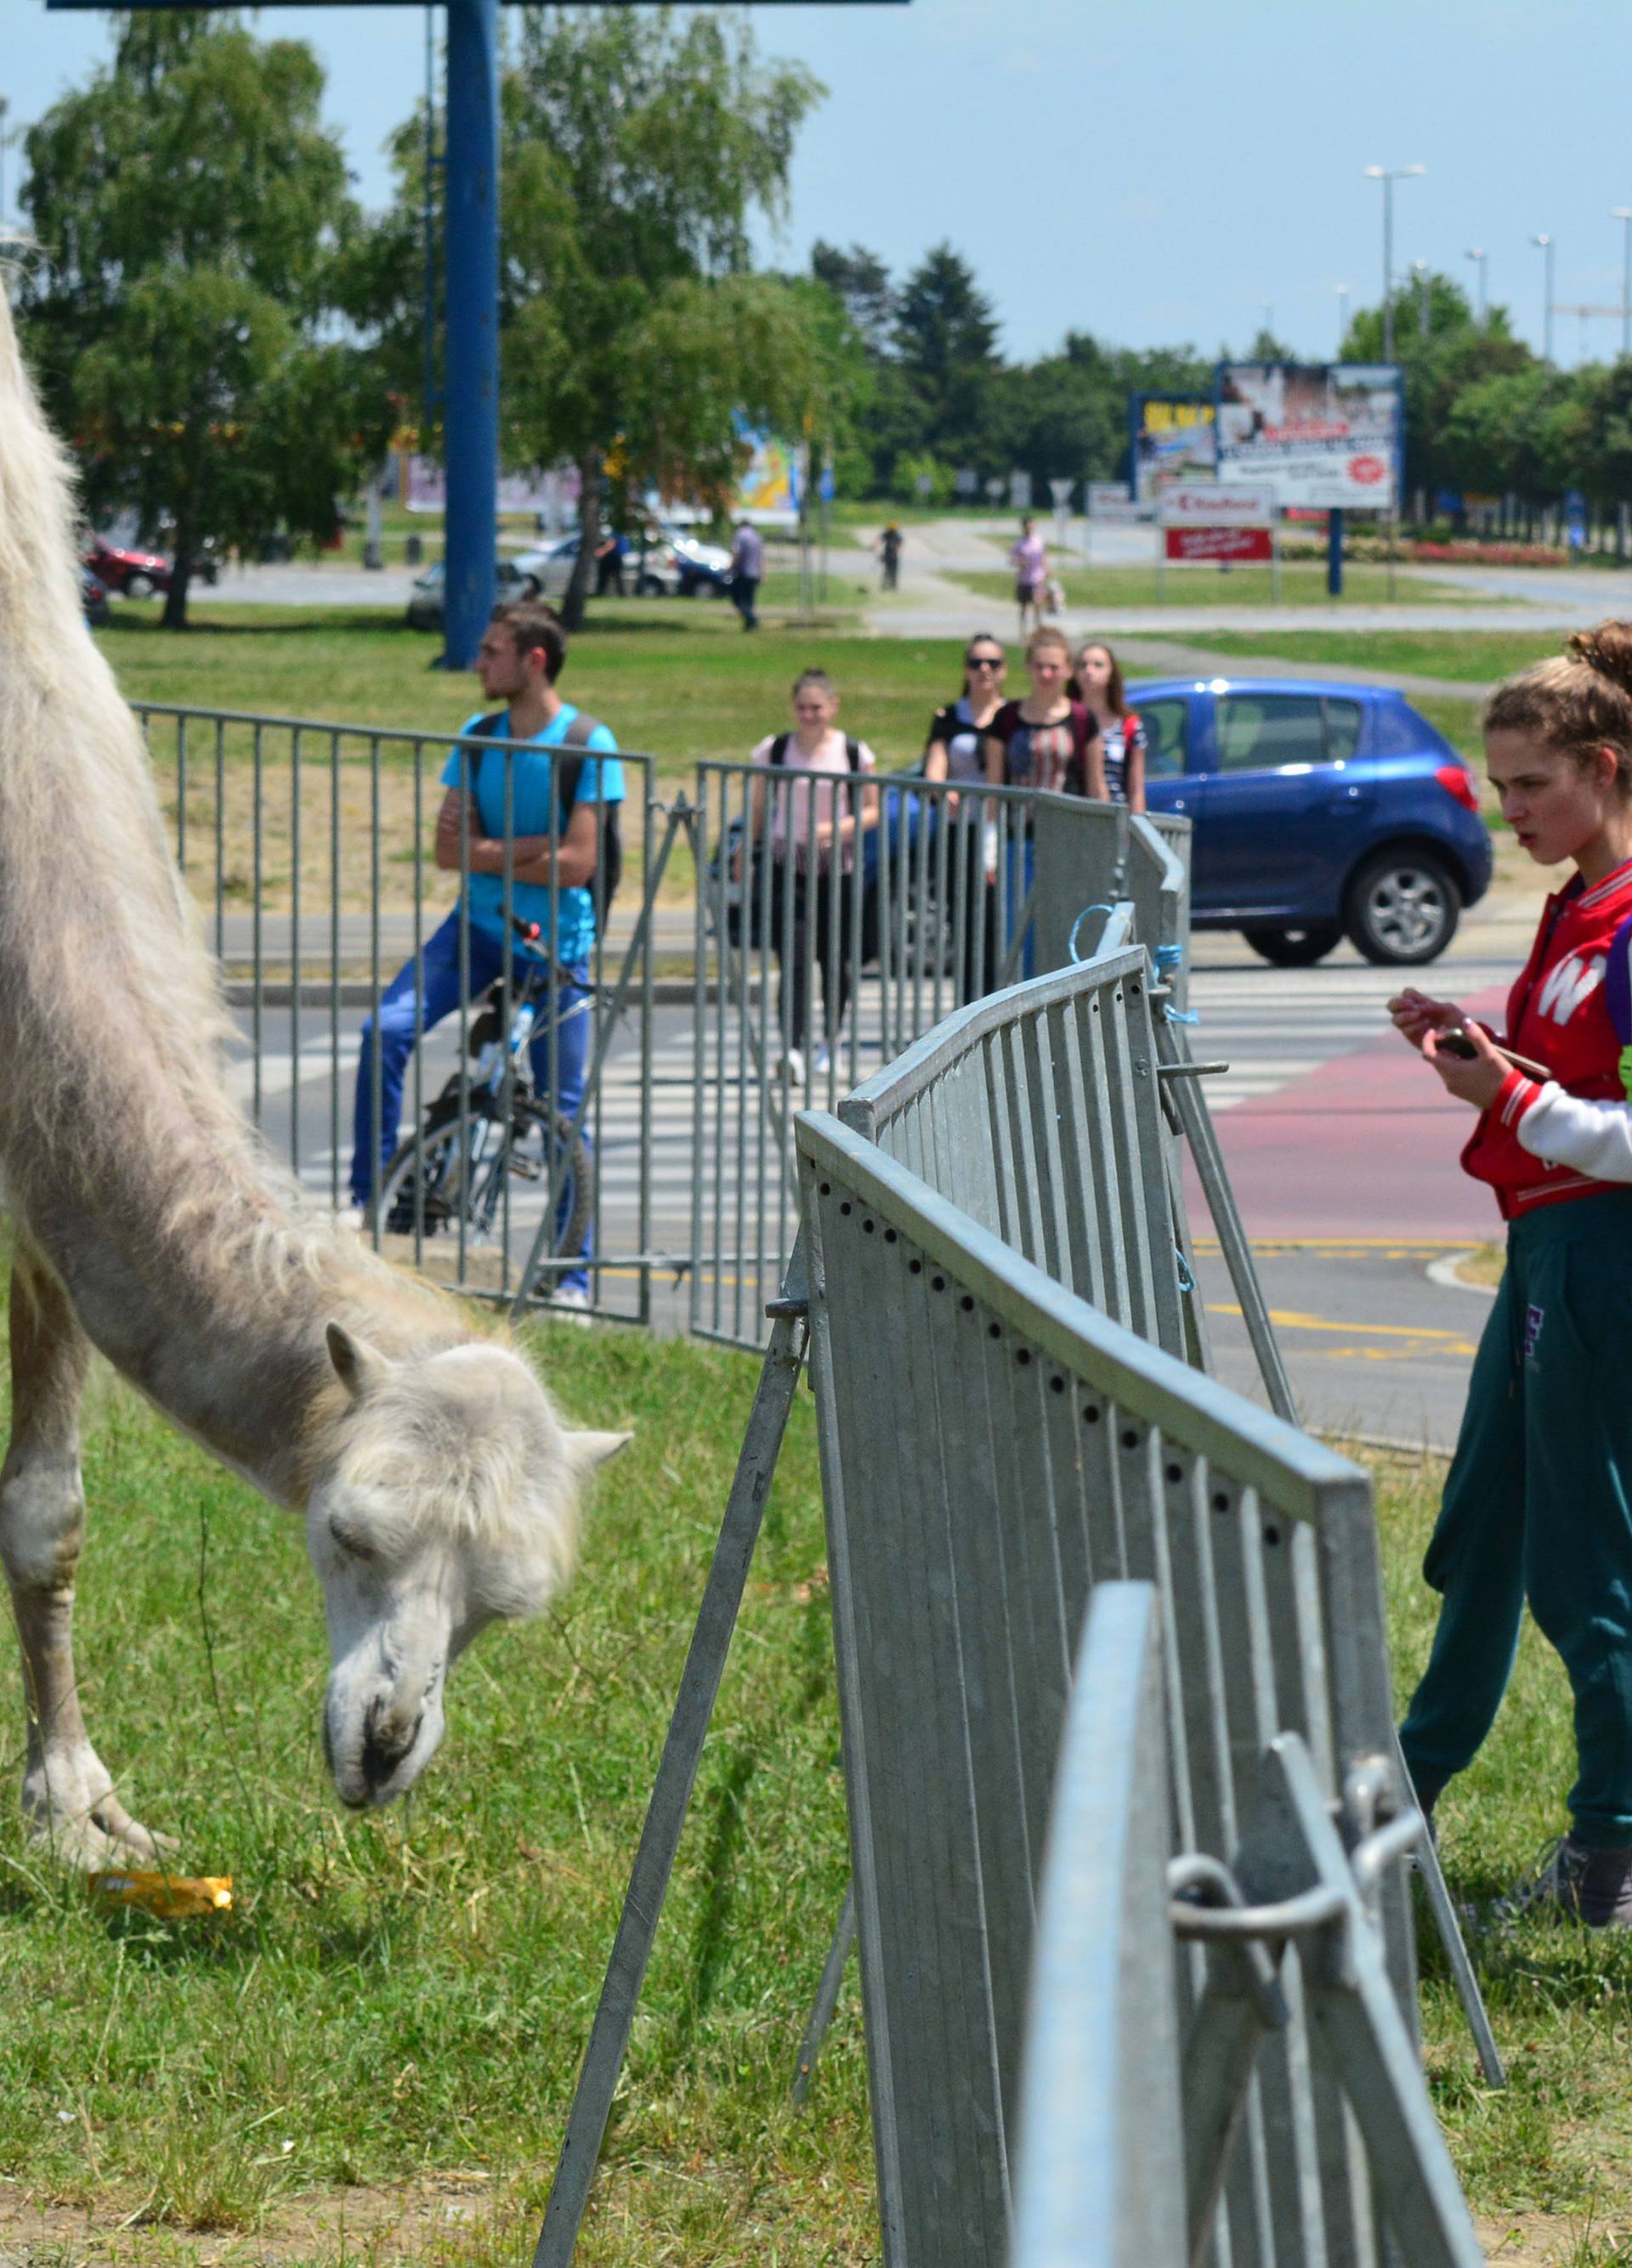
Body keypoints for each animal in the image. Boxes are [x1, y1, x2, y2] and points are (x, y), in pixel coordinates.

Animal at [0, 283, 631, 1859]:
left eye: (502, 1605)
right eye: (350, 1531)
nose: (386, 1743)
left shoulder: (38, 1185)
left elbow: (45, 1508)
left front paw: (77, 1806)